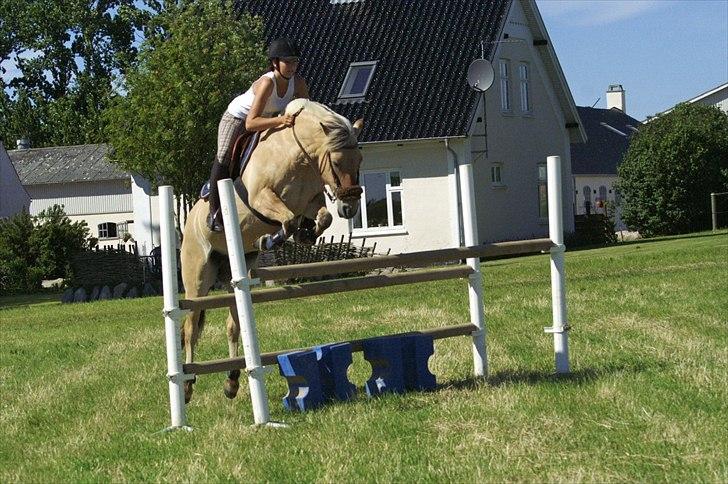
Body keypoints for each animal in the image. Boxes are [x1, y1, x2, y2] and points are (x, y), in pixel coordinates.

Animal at [179, 98, 364, 400]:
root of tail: (187, 224)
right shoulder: (262, 198)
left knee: (234, 325)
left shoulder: (310, 201)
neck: (299, 154)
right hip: (197, 278)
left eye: (360, 161)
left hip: (235, 274)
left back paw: (232, 381)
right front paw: (269, 240)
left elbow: (322, 217)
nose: (349, 208)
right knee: (191, 328)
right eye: (337, 162)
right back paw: (186, 385)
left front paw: (306, 234)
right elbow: (286, 220)